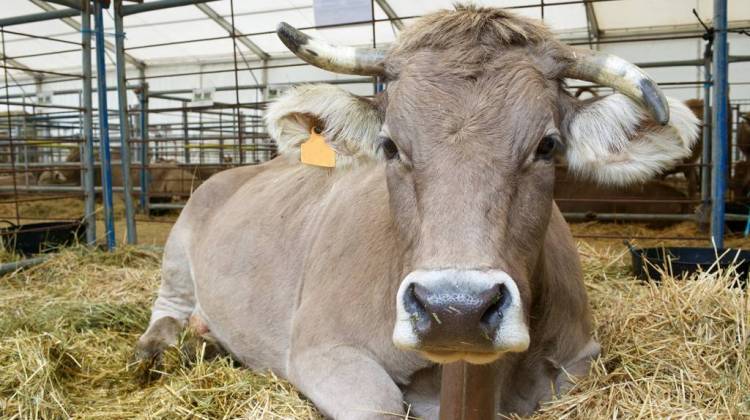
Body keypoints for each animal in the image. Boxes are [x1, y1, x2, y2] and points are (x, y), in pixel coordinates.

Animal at [134, 4, 700, 418]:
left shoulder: (581, 356)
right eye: (389, 145)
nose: (457, 309)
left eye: (547, 145)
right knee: (167, 308)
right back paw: (157, 351)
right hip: (178, 248)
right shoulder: (322, 349)